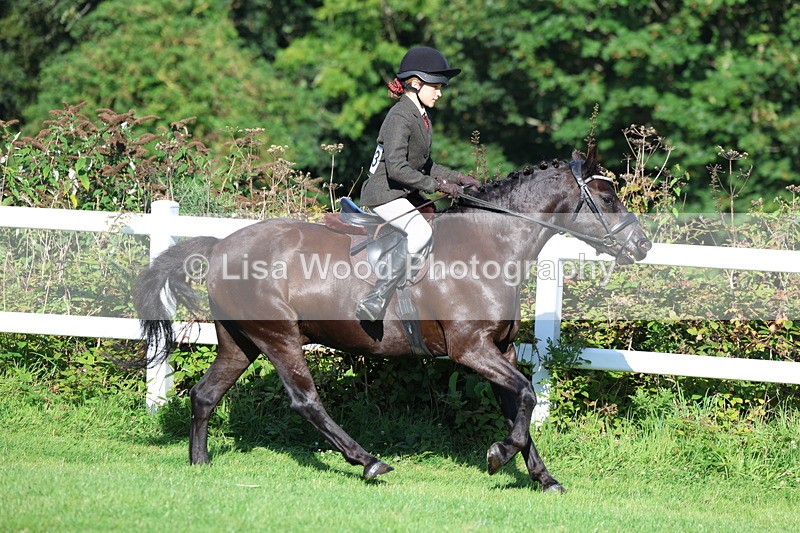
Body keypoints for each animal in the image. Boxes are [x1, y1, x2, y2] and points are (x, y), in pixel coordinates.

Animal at [134, 144, 651, 493]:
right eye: (608, 199)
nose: (643, 246)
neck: (489, 245)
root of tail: (222, 245)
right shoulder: (471, 350)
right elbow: (524, 394)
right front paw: (497, 455)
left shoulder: (498, 350)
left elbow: (518, 404)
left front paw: (543, 478)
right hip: (278, 336)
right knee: (305, 400)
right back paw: (368, 461)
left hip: (240, 341)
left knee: (205, 395)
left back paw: (200, 463)